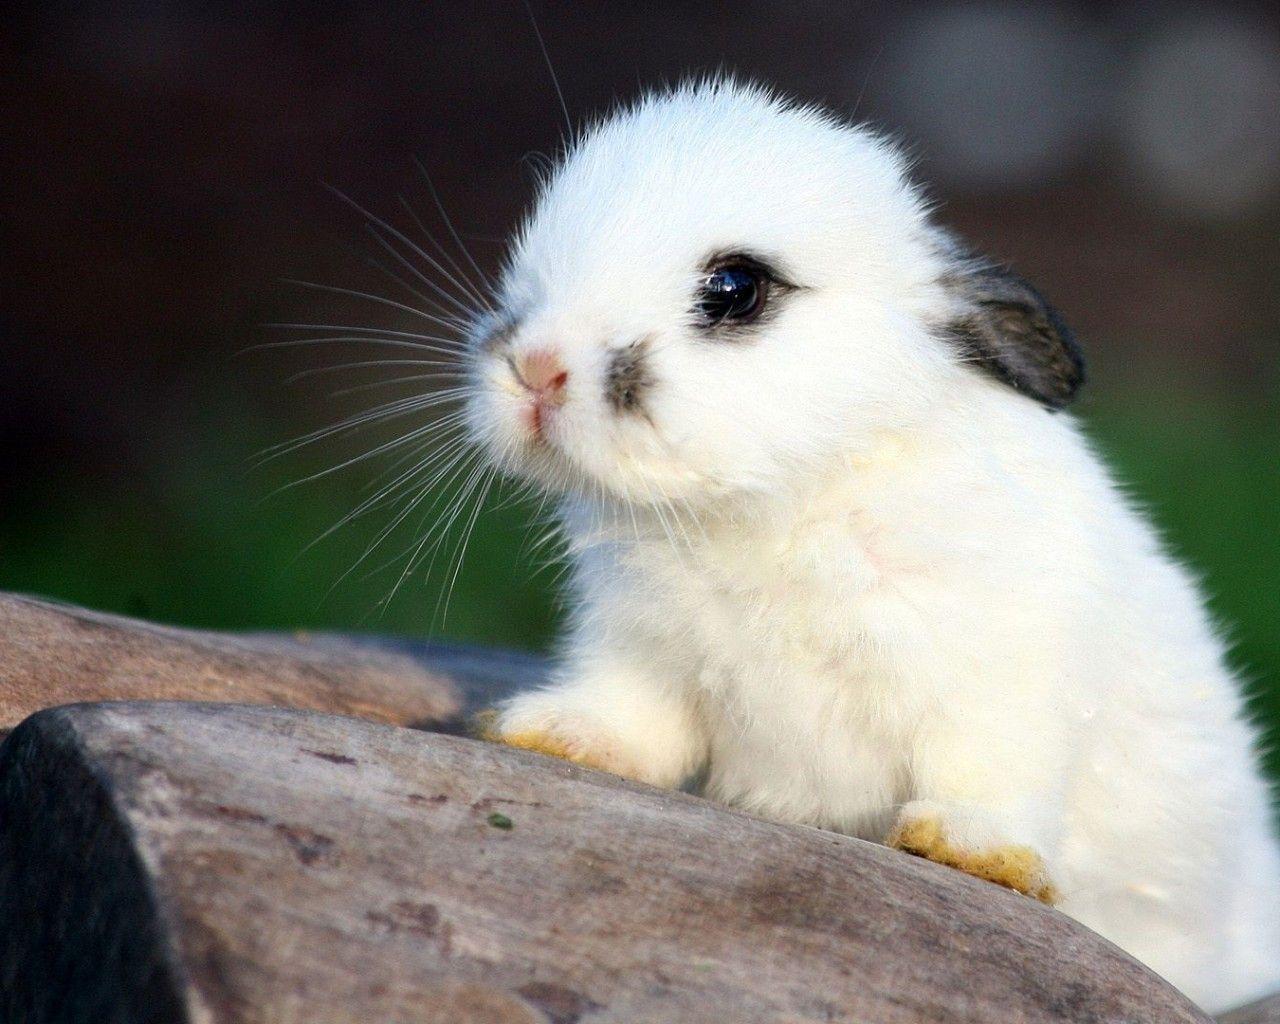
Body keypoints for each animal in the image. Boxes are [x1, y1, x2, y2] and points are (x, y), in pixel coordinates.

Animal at [463, 78, 1280, 1012]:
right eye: (532, 262)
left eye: (735, 288)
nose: (536, 368)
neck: (777, 503)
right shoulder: (640, 653)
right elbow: (632, 720)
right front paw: (549, 733)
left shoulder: (1001, 677)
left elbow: (990, 767)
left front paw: (969, 850)